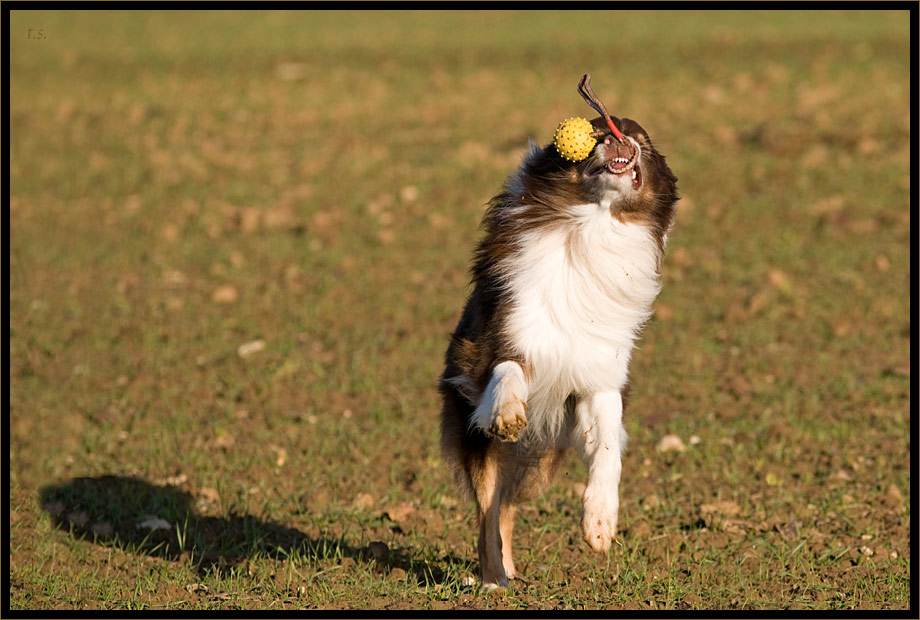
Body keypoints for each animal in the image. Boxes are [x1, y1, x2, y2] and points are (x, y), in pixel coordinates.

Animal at [438, 92, 676, 592]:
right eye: (596, 132)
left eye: (641, 139)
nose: (616, 137)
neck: (591, 227)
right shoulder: (497, 343)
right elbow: (508, 368)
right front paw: (509, 410)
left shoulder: (600, 379)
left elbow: (607, 449)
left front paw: (601, 523)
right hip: (480, 441)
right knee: (489, 513)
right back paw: (495, 579)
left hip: (541, 460)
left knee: (506, 507)